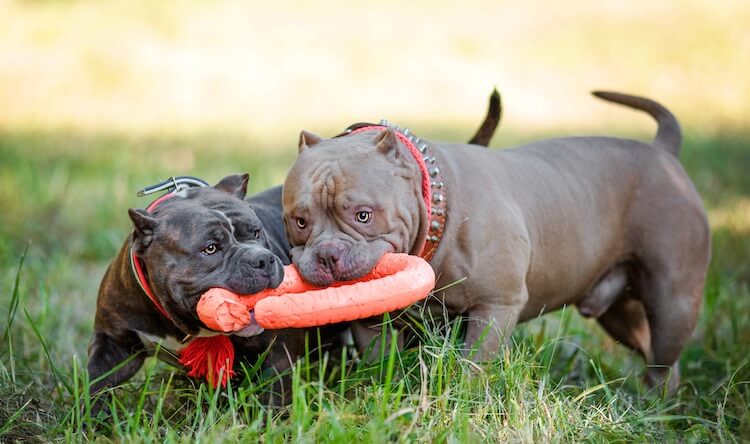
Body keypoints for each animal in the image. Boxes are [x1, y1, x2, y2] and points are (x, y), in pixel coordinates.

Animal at [280, 91, 712, 392]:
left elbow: (471, 364)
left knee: (663, 356)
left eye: (363, 215)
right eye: (300, 222)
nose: (328, 255)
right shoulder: (372, 323)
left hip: (673, 300)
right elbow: (378, 362)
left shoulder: (494, 307)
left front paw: (458, 399)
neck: (436, 213)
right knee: (654, 354)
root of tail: (662, 151)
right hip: (622, 313)